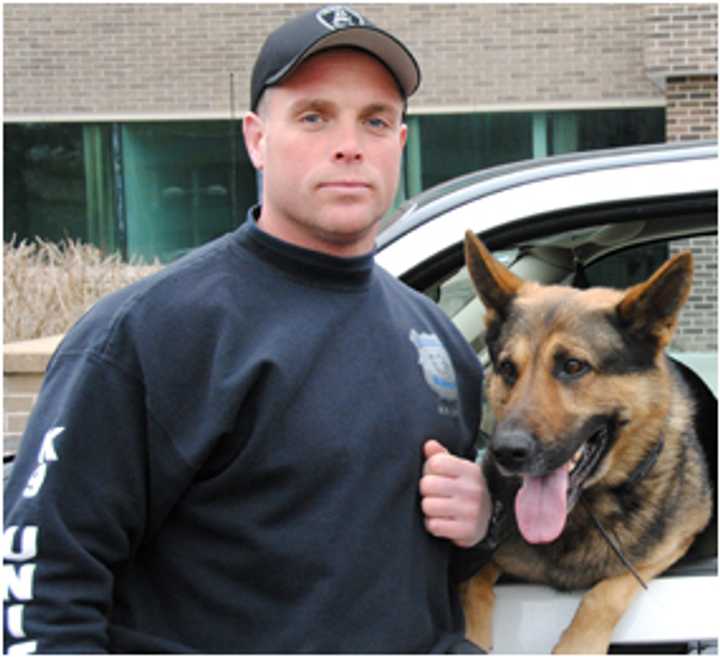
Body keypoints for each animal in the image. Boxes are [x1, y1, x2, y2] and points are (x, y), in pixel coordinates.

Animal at [462, 231, 716, 652]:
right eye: (507, 369)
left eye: (573, 366)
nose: (505, 453)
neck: (586, 507)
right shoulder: (492, 551)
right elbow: (472, 582)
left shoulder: (673, 546)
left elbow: (605, 592)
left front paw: (577, 644)